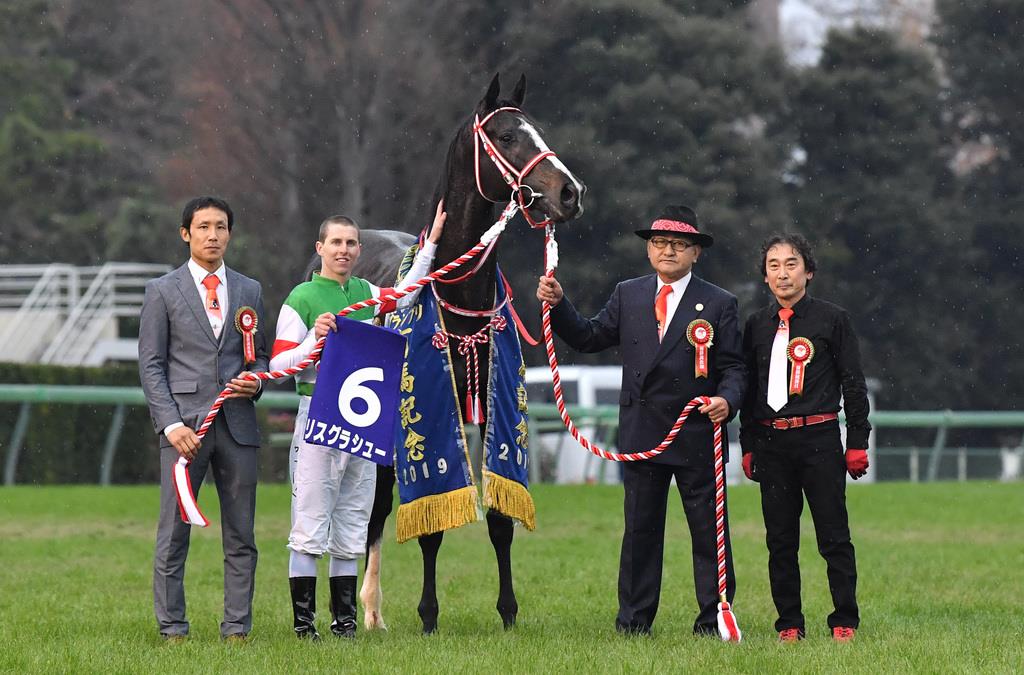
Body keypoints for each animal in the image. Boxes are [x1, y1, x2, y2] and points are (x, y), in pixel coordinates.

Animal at [358, 73, 589, 635]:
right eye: (506, 136)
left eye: (537, 129)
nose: (570, 192)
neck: (457, 297)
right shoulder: (426, 411)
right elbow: (430, 524)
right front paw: (428, 615)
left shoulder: (491, 411)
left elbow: (501, 520)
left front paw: (508, 611)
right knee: (376, 506)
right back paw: (370, 608)